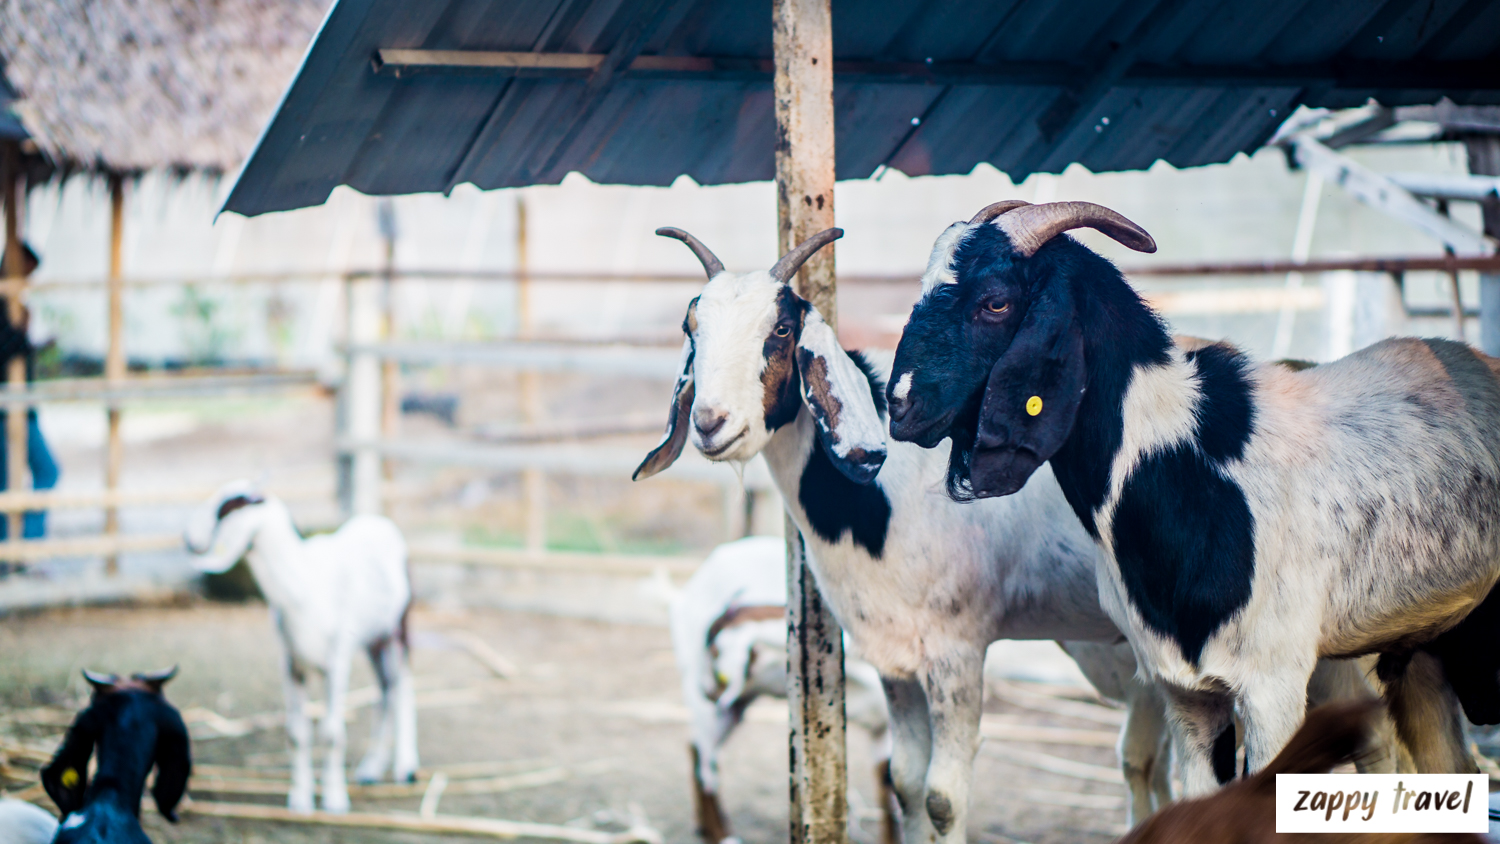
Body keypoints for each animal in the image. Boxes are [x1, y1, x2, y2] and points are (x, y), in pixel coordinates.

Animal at [183, 481, 417, 813]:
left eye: (227, 508)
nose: (188, 539)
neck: (301, 586)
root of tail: (378, 521)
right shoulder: (291, 663)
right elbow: (296, 734)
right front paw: (300, 799)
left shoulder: (337, 661)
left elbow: (332, 733)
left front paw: (334, 800)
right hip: (375, 639)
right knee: (385, 689)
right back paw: (370, 768)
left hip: (399, 625)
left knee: (402, 686)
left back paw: (405, 768)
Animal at [887, 199, 1499, 795]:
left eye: (995, 302)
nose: (899, 405)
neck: (1181, 464)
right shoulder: (1185, 692)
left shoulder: (1273, 684)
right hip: (1419, 644)